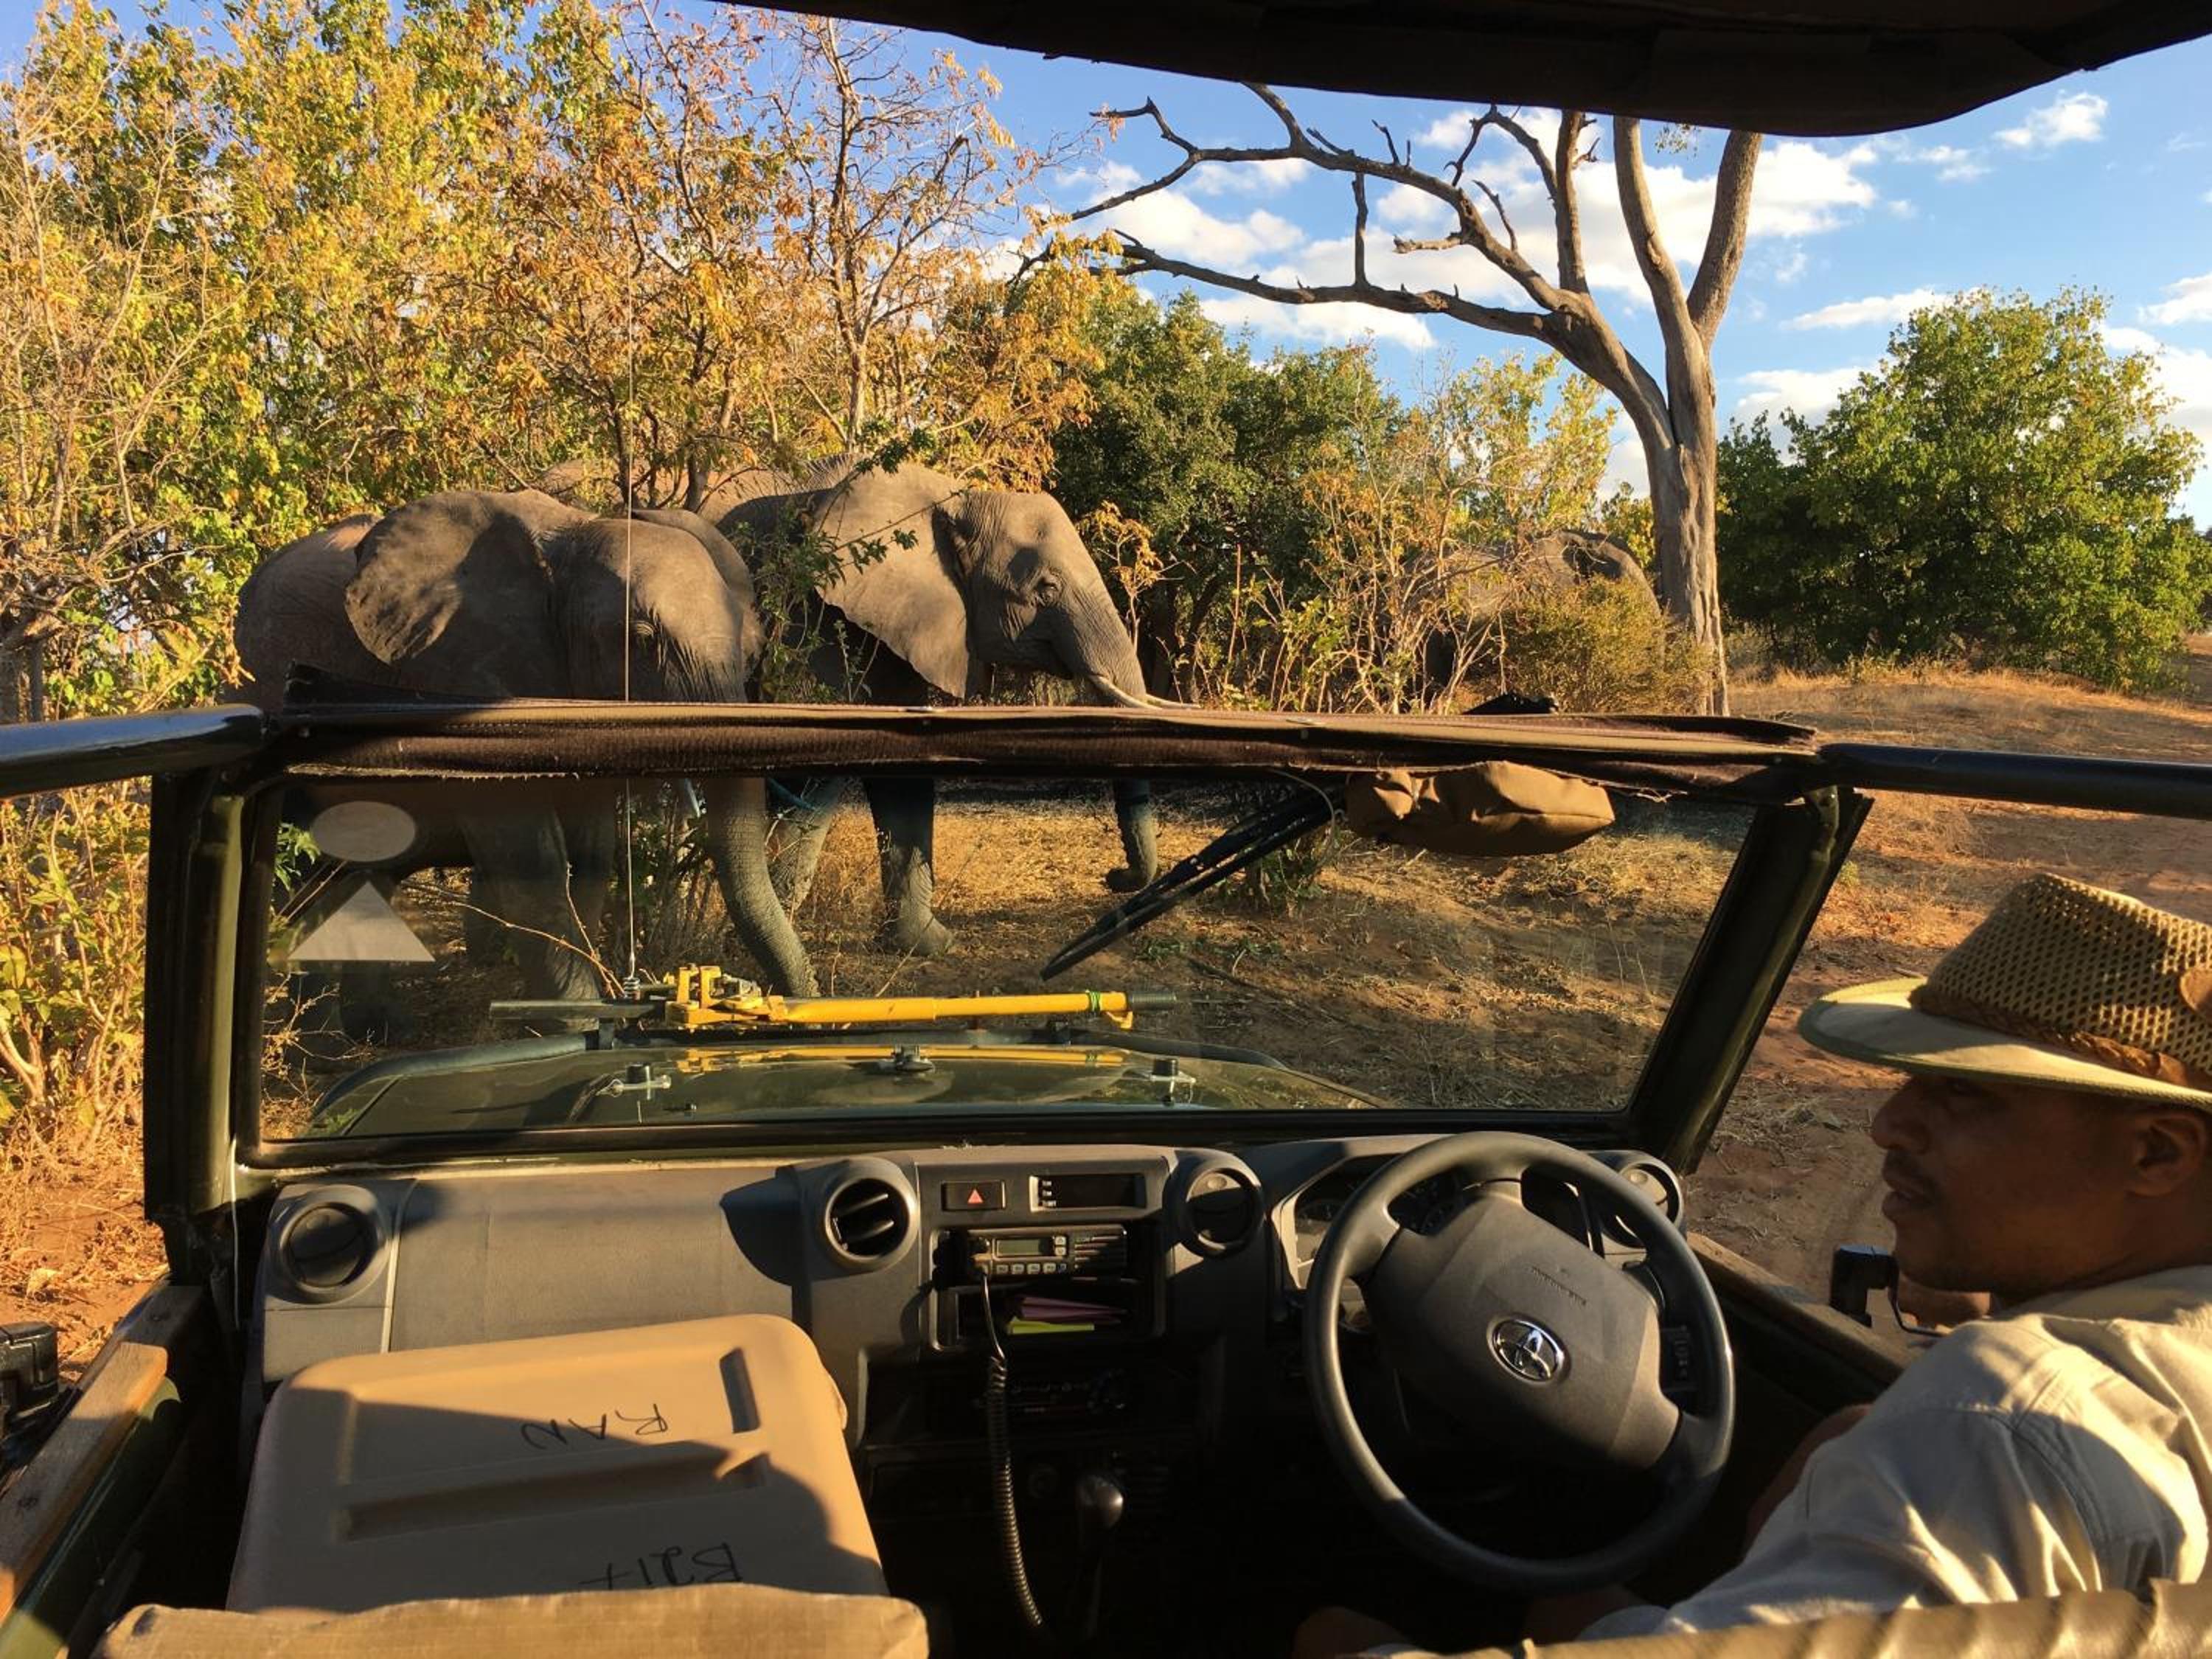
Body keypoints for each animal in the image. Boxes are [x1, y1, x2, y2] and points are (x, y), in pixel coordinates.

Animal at [235, 490, 817, 1003]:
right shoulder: (465, 672)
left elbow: (592, 847)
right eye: (642, 640)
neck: (573, 541)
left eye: (752, 651)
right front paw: (576, 1021)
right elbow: (526, 851)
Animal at [720, 459, 1166, 957]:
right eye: (1046, 589)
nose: (1113, 877)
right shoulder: (818, 614)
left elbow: (903, 764)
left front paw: (926, 945)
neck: (955, 501)